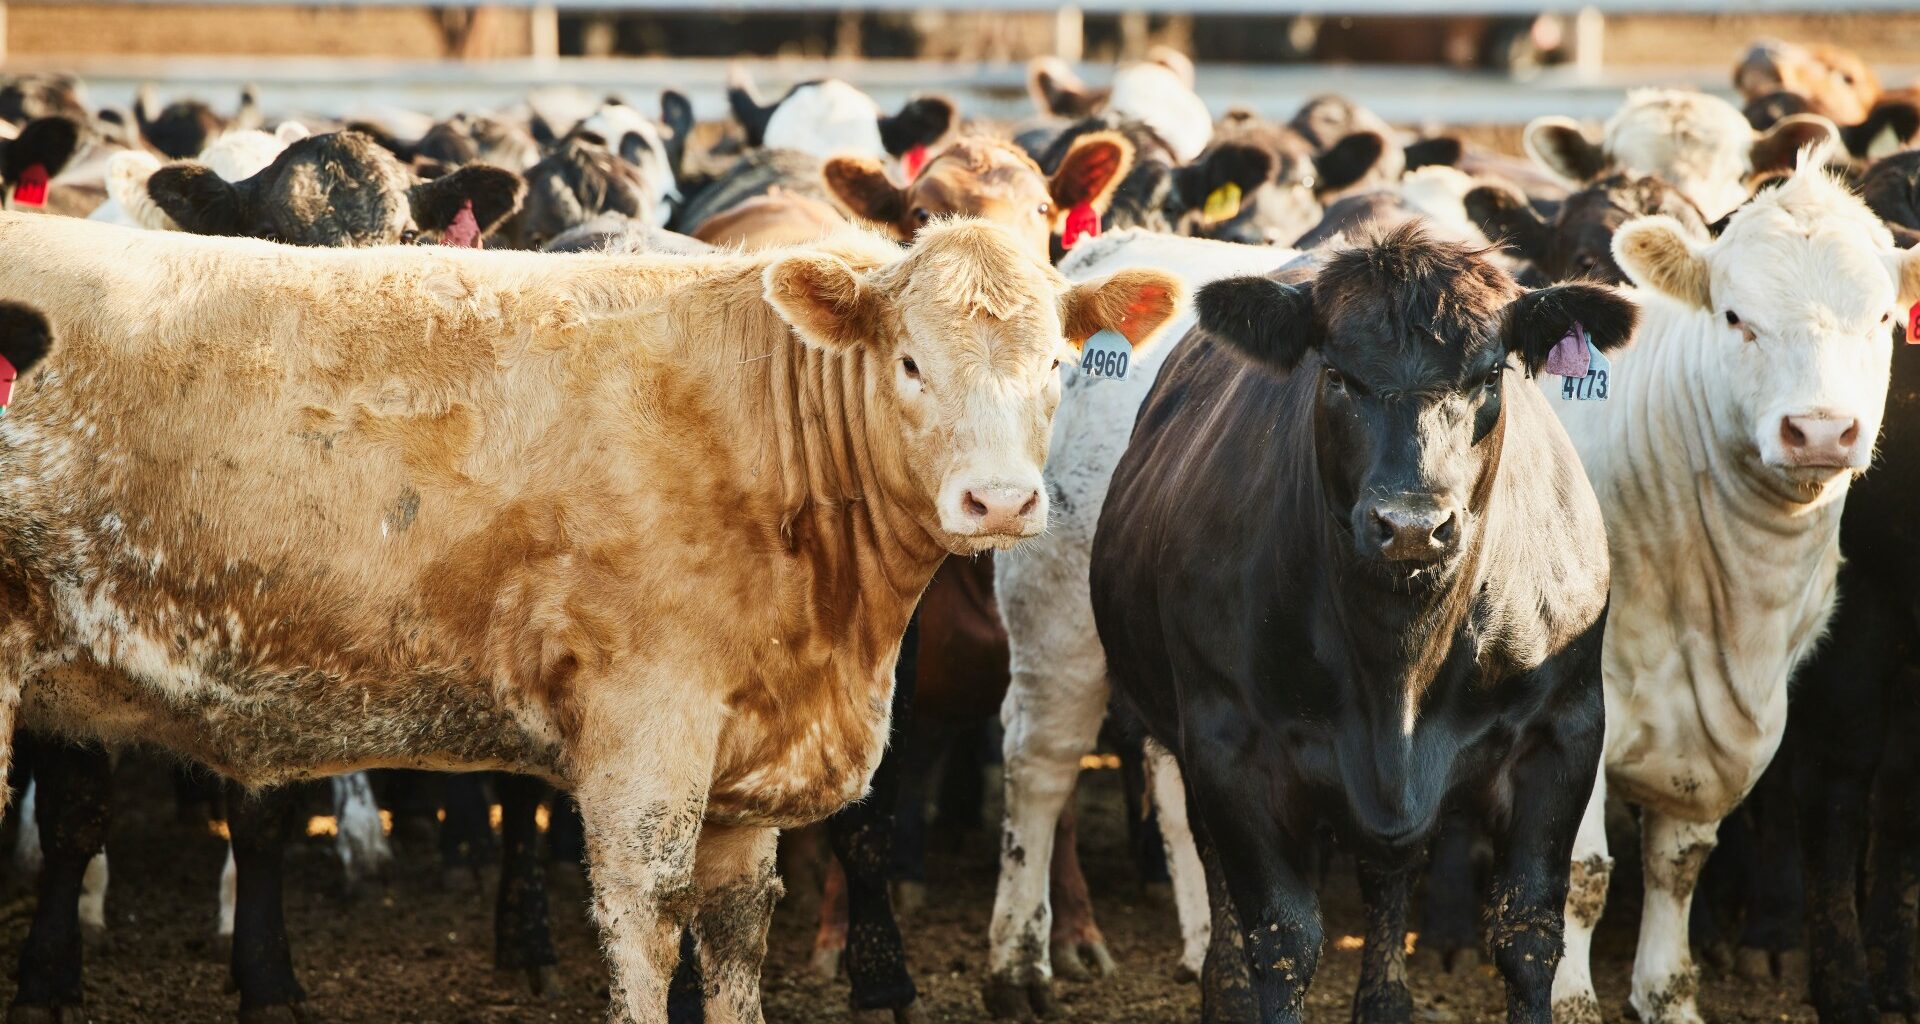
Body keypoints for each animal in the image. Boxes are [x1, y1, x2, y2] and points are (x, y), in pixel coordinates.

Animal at [0, 212, 1179, 1023]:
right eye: (910, 362)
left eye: (1059, 365)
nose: (1001, 502)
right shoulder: (645, 732)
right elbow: (646, 919)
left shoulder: (746, 763)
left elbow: (737, 931)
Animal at [1088, 224, 1634, 1024]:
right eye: (1339, 376)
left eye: (1488, 377)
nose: (1411, 526)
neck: (1397, 668)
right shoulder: (1228, 744)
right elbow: (1283, 940)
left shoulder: (1562, 731)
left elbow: (1528, 933)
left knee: (1387, 878)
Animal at [1543, 149, 1915, 1024]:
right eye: (1737, 317)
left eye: (1883, 319)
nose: (1821, 431)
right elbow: (1582, 875)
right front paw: (1569, 998)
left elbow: (1680, 864)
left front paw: (1666, 993)